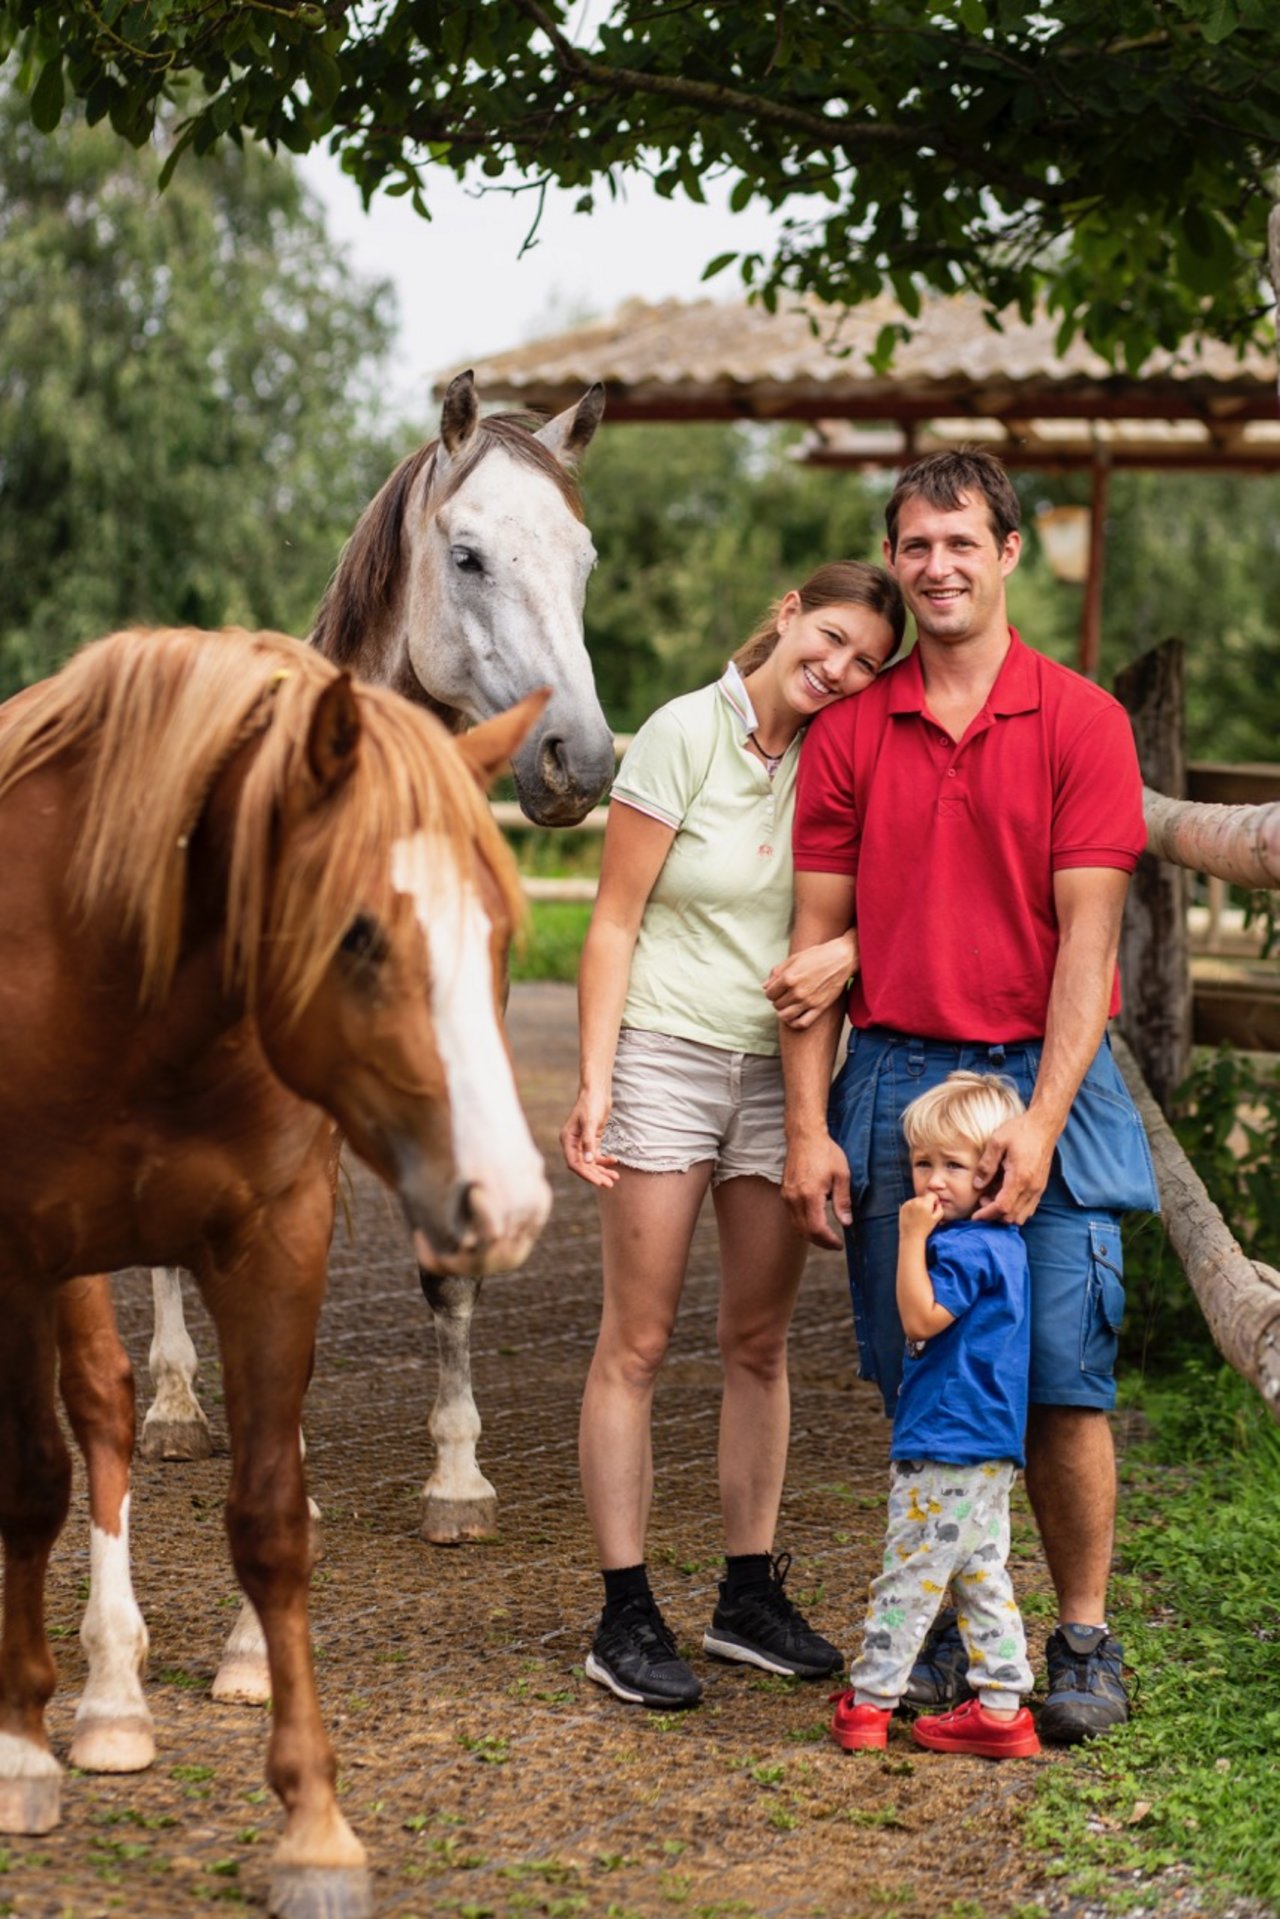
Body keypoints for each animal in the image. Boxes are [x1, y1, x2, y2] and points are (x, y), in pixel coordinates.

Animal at [0, 629, 545, 1919]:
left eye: (499, 930)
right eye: (357, 933)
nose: (506, 1201)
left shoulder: (274, 1241)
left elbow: (270, 1516)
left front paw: (314, 1824)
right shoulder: (30, 1249)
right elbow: (39, 1476)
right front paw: (25, 1747)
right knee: (96, 1420)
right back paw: (103, 1695)